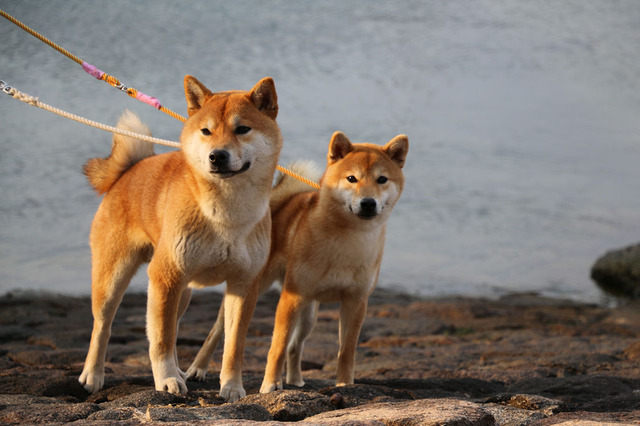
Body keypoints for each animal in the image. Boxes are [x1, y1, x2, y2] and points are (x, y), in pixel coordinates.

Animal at [78, 77, 282, 402]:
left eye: (242, 129)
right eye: (206, 131)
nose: (217, 155)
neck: (226, 214)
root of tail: (127, 171)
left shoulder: (244, 285)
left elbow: (233, 345)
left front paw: (232, 387)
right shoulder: (166, 275)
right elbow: (160, 339)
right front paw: (166, 381)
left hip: (182, 291)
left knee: (172, 328)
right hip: (116, 279)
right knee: (103, 327)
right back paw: (93, 375)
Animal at [182, 131, 408, 392]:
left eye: (382, 179)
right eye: (352, 178)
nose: (368, 202)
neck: (347, 240)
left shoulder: (356, 302)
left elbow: (346, 352)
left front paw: (344, 385)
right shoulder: (291, 298)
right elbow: (277, 347)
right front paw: (270, 385)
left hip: (309, 314)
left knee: (296, 345)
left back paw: (294, 379)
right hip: (254, 288)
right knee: (218, 332)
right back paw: (198, 369)